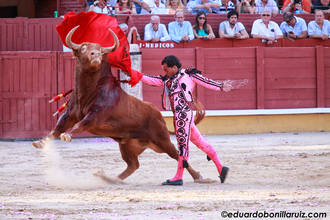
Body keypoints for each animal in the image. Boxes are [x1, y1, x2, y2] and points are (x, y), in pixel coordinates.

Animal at [31, 25, 201, 182]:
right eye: (84, 47)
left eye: (101, 50)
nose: (95, 55)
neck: (88, 91)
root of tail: (157, 114)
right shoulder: (70, 115)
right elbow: (57, 127)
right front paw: (41, 142)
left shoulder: (96, 115)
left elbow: (80, 124)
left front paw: (67, 135)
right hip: (127, 145)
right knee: (133, 165)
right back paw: (111, 178)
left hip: (161, 139)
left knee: (177, 155)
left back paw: (197, 176)